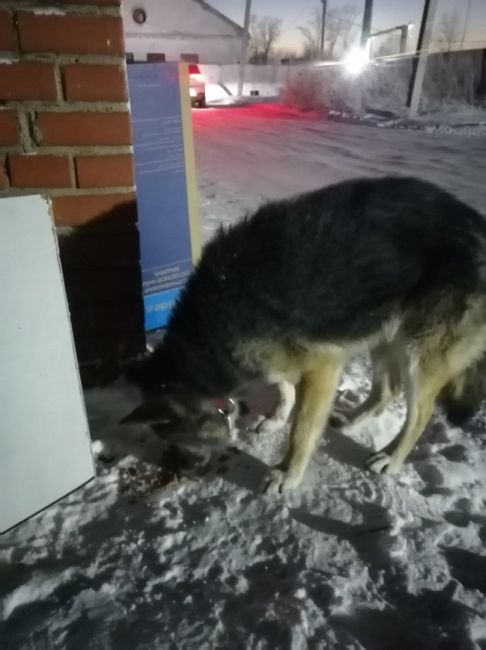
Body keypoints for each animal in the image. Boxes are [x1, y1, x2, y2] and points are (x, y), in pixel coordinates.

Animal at [122, 177, 486, 492]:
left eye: (174, 439)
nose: (177, 470)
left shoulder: (322, 368)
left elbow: (302, 431)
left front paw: (288, 474)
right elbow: (283, 386)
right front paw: (276, 417)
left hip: (418, 355)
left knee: (420, 414)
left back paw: (391, 458)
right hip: (380, 326)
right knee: (387, 390)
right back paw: (352, 422)